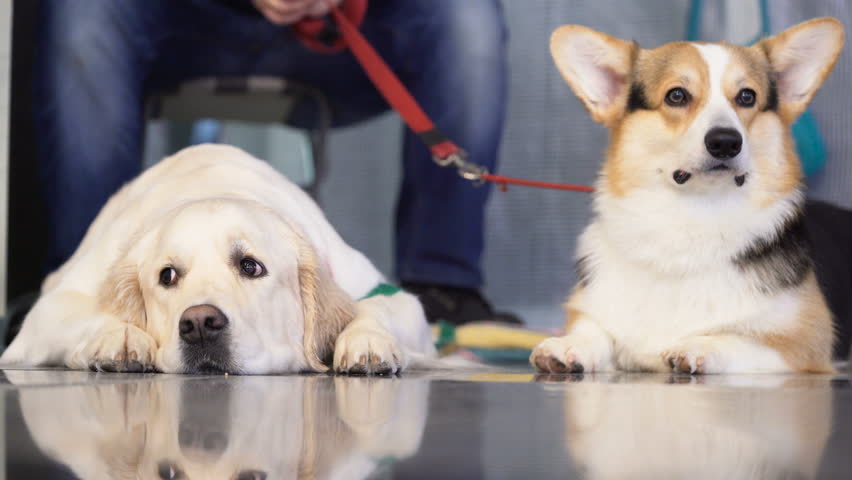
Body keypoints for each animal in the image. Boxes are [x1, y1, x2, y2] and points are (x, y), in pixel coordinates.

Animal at [1, 144, 432, 374]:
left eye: (250, 266)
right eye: (167, 276)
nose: (199, 324)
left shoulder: (393, 296)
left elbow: (375, 307)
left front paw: (367, 342)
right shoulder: (47, 311)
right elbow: (92, 312)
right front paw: (119, 337)